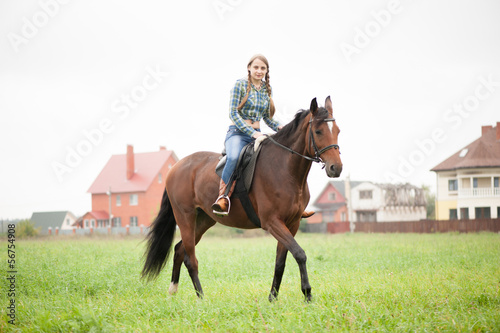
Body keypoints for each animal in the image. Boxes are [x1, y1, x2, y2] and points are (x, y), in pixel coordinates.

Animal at [143, 96, 342, 300]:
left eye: (337, 131)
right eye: (318, 131)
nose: (336, 168)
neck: (285, 170)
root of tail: (176, 167)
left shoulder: (292, 224)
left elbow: (280, 263)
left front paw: (273, 298)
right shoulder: (272, 222)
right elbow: (300, 254)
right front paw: (307, 293)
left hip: (204, 220)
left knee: (179, 250)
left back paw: (173, 290)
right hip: (185, 217)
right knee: (190, 259)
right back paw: (201, 299)